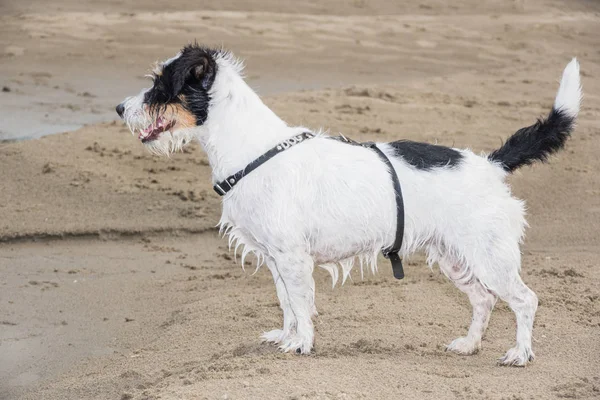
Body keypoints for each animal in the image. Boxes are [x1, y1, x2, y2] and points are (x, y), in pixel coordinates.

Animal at [116, 43, 580, 366]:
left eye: (159, 85)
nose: (119, 108)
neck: (252, 147)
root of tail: (489, 164)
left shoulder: (292, 257)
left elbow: (301, 305)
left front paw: (301, 344)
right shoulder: (278, 260)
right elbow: (288, 303)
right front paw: (287, 336)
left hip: (489, 256)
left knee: (525, 300)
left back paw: (520, 354)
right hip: (455, 256)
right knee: (484, 300)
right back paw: (469, 344)